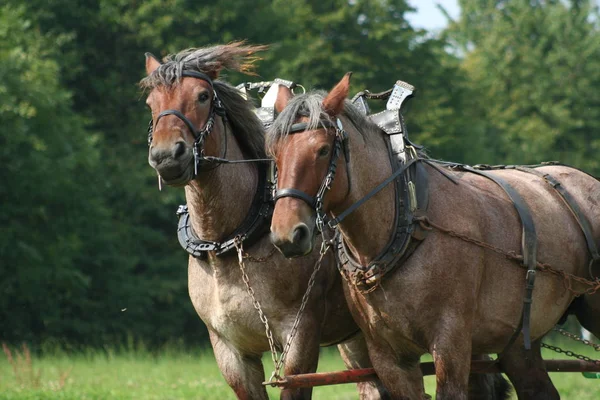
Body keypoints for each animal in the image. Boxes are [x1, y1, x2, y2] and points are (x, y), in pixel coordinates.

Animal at [139, 43, 390, 400]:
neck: (231, 241)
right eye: (151, 103)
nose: (167, 157)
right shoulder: (230, 352)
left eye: (202, 96)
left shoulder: (300, 341)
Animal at [268, 73, 600, 398]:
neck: (404, 226)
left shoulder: (451, 345)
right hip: (519, 341)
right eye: (274, 154)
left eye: (323, 150)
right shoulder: (390, 358)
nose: (288, 234)